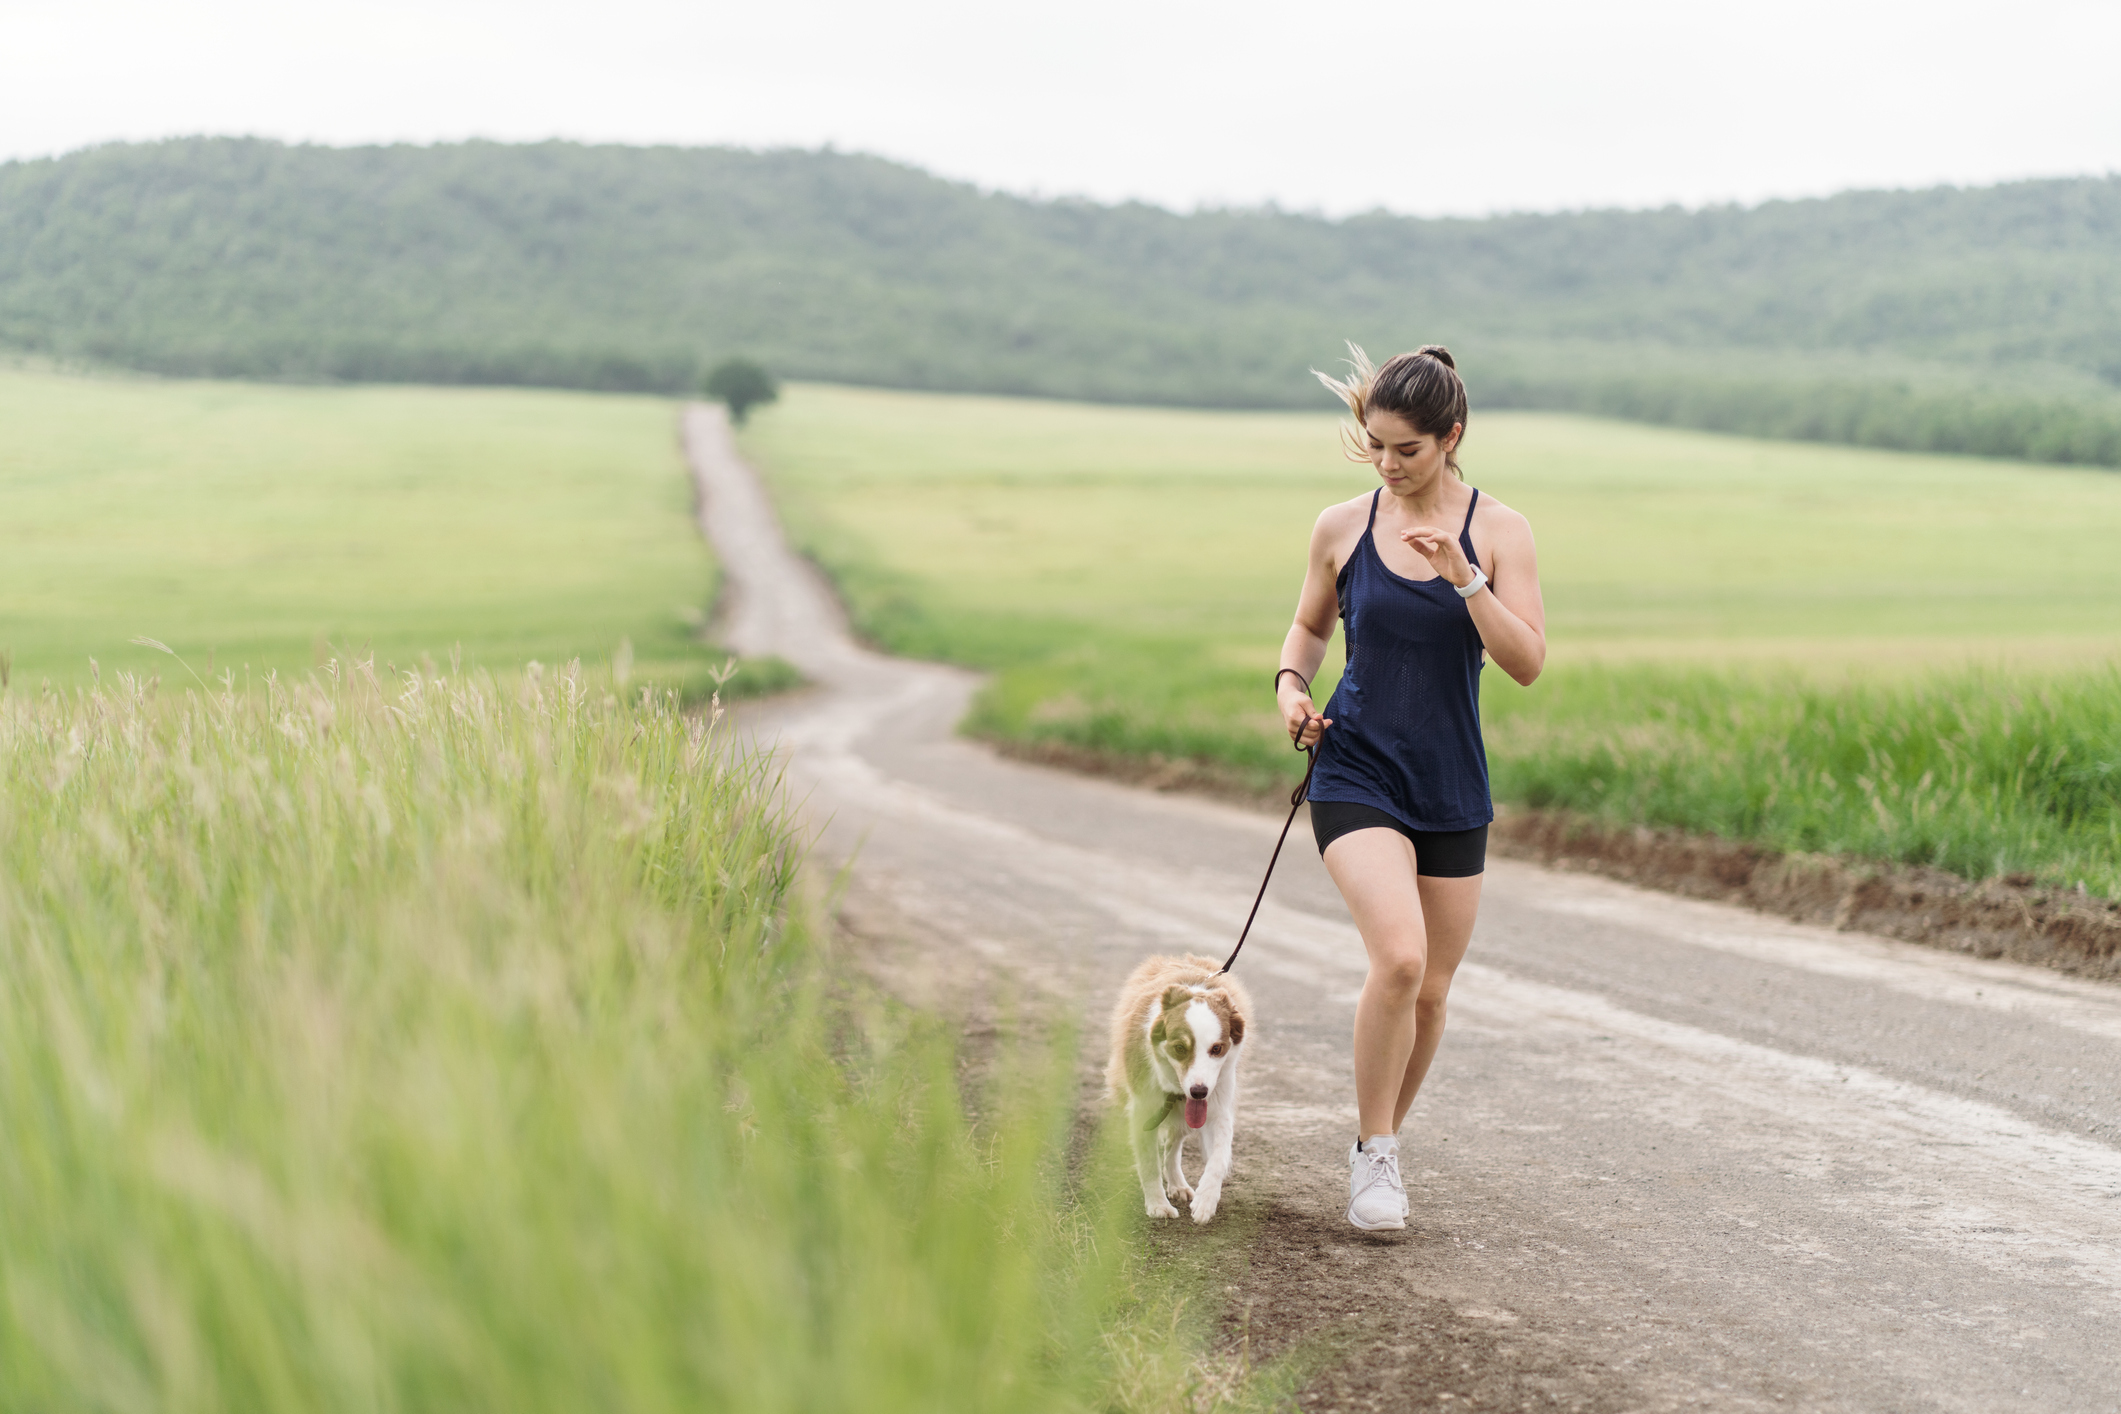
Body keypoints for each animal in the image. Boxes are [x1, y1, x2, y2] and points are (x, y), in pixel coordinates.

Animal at [1102, 958, 1247, 1221]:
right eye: (1180, 1048)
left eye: (1217, 1049)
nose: (1199, 1092)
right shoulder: (1144, 1107)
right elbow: (1149, 1162)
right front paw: (1157, 1205)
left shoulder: (1217, 1106)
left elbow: (1219, 1157)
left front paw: (1206, 1200)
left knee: (1172, 1144)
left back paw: (1178, 1184)